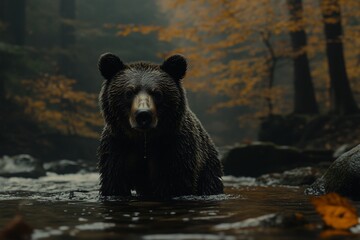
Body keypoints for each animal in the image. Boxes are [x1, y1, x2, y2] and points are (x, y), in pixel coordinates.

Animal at [97, 53, 224, 198]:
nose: (143, 115)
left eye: (157, 93)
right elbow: (114, 183)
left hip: (207, 167)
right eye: (129, 92)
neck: (144, 140)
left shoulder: (175, 149)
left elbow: (175, 184)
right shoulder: (117, 147)